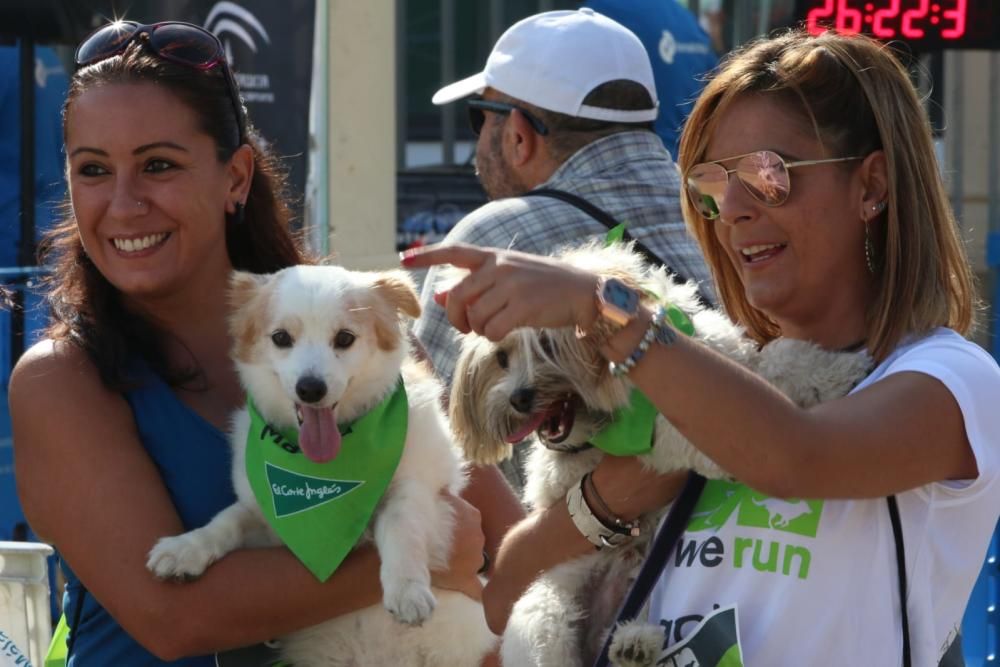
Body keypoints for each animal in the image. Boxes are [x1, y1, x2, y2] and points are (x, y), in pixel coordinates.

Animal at [146, 266, 496, 667]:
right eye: (281, 338)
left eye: (344, 338)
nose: (310, 389)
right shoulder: (268, 517)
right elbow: (226, 520)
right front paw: (186, 548)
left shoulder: (426, 490)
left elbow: (400, 523)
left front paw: (407, 587)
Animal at [450, 241, 872, 667]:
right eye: (502, 358)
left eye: (547, 345)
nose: (518, 398)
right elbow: (685, 429)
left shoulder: (729, 363)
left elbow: (777, 358)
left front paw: (835, 368)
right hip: (545, 612)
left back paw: (633, 644)